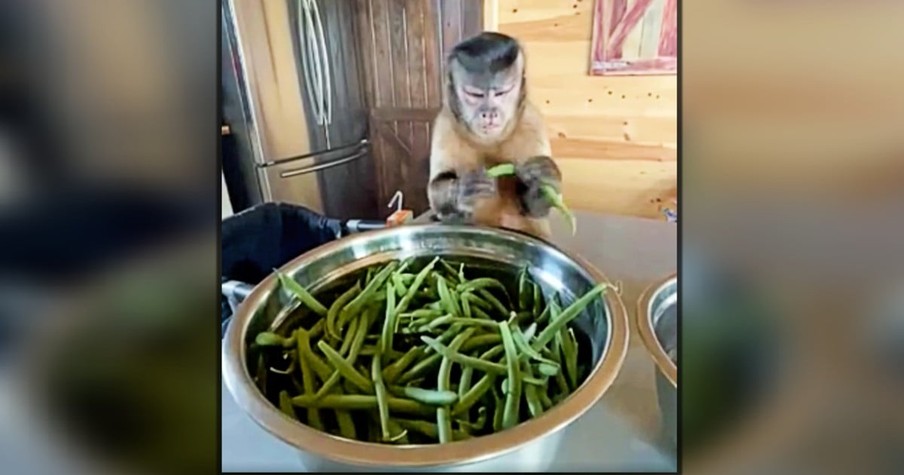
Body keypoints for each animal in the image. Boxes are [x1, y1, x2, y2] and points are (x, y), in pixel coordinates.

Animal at [428, 31, 560, 240]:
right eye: (475, 94)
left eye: (501, 93)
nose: (489, 113)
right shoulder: (445, 123)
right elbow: (437, 186)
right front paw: (463, 190)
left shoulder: (532, 121)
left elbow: (531, 208)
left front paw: (545, 177)